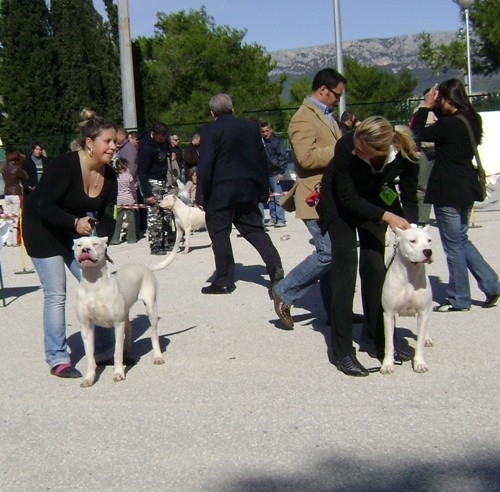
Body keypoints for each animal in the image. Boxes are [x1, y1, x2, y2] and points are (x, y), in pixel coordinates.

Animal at [72, 236, 178, 386]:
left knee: (154, 334)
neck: (93, 285)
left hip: (151, 308)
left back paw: (157, 356)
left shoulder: (117, 324)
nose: (85, 250)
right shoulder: (86, 328)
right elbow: (90, 356)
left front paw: (118, 373)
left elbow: (116, 353)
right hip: (126, 311)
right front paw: (89, 378)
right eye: (79, 245)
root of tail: (143, 266)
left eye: (95, 243)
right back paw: (126, 349)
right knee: (129, 327)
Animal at [382, 226, 434, 372]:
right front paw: (387, 364)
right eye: (412, 241)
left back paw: (427, 337)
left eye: (429, 240)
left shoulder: (423, 312)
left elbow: (420, 341)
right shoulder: (388, 314)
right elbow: (389, 343)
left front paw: (419, 363)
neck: (410, 273)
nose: (428, 251)